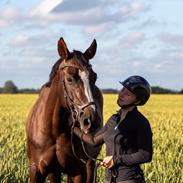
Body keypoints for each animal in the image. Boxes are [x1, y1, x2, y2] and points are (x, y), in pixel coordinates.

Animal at [25, 37, 103, 183]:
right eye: (69, 79)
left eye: (94, 77)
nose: (92, 121)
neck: (54, 129)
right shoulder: (37, 170)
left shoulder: (78, 171)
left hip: (90, 164)